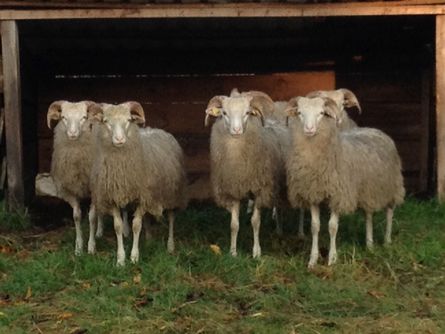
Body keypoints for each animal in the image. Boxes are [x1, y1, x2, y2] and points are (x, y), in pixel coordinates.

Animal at [46, 100, 103, 254]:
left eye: (83, 117)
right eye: (63, 117)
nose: (72, 133)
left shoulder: (94, 189)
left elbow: (92, 217)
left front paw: (91, 247)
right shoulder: (69, 189)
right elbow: (76, 216)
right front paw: (78, 247)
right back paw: (99, 232)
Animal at [89, 102, 186, 266]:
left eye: (128, 120)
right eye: (106, 121)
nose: (119, 139)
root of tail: (155, 129)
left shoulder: (142, 197)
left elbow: (136, 226)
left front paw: (134, 257)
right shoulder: (113, 198)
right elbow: (118, 227)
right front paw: (121, 259)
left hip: (172, 193)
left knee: (171, 218)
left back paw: (170, 245)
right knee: (147, 218)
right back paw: (149, 240)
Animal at [205, 90, 288, 258]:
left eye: (247, 113)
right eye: (224, 113)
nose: (236, 130)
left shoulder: (260, 190)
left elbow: (255, 222)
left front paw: (256, 252)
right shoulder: (233, 191)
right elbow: (234, 225)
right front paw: (233, 252)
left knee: (279, 207)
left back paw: (279, 230)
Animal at [286, 95, 404, 268]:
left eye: (321, 113)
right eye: (300, 113)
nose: (309, 129)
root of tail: (376, 130)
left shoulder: (338, 195)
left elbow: (332, 227)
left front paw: (331, 259)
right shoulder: (313, 194)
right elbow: (315, 227)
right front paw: (312, 260)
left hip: (390, 186)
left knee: (389, 211)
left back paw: (387, 241)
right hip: (368, 189)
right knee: (368, 214)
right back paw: (369, 244)